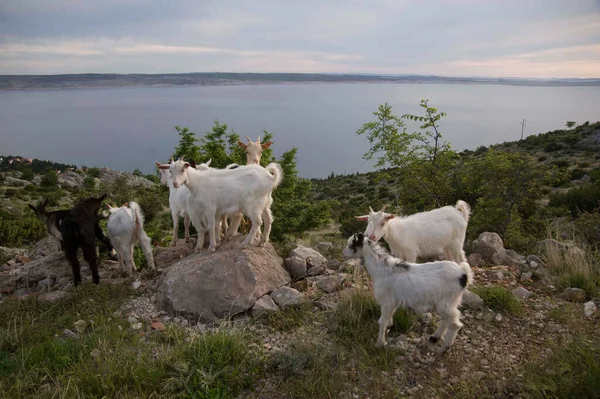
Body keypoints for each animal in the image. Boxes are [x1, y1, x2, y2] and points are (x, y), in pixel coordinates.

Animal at [342, 231, 474, 354]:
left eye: (351, 245)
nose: (343, 254)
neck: (382, 269)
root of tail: (463, 274)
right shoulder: (393, 302)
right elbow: (389, 317)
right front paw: (390, 327)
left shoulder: (386, 301)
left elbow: (382, 321)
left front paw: (380, 343)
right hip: (448, 302)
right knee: (448, 320)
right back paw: (434, 338)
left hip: (447, 302)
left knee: (455, 324)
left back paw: (444, 347)